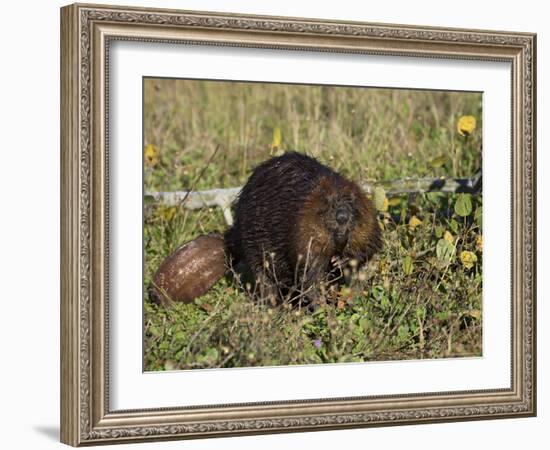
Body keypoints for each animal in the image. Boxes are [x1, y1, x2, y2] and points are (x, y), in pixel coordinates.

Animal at [225, 152, 384, 306]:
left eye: (352, 201)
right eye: (328, 202)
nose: (342, 216)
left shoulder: (368, 224)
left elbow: (369, 246)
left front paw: (341, 260)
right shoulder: (302, 230)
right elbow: (309, 270)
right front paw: (322, 305)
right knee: (265, 279)